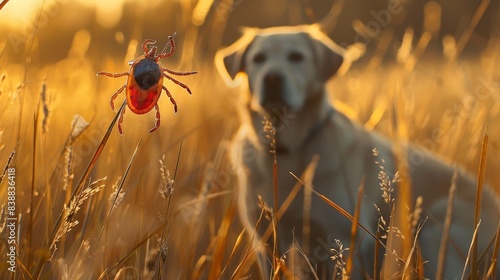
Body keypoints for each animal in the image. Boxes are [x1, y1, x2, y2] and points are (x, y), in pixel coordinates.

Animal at [215, 25, 500, 278]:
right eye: (258, 59)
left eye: (296, 57)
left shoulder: (343, 240)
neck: (288, 149)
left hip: (436, 230)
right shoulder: (264, 239)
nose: (272, 78)